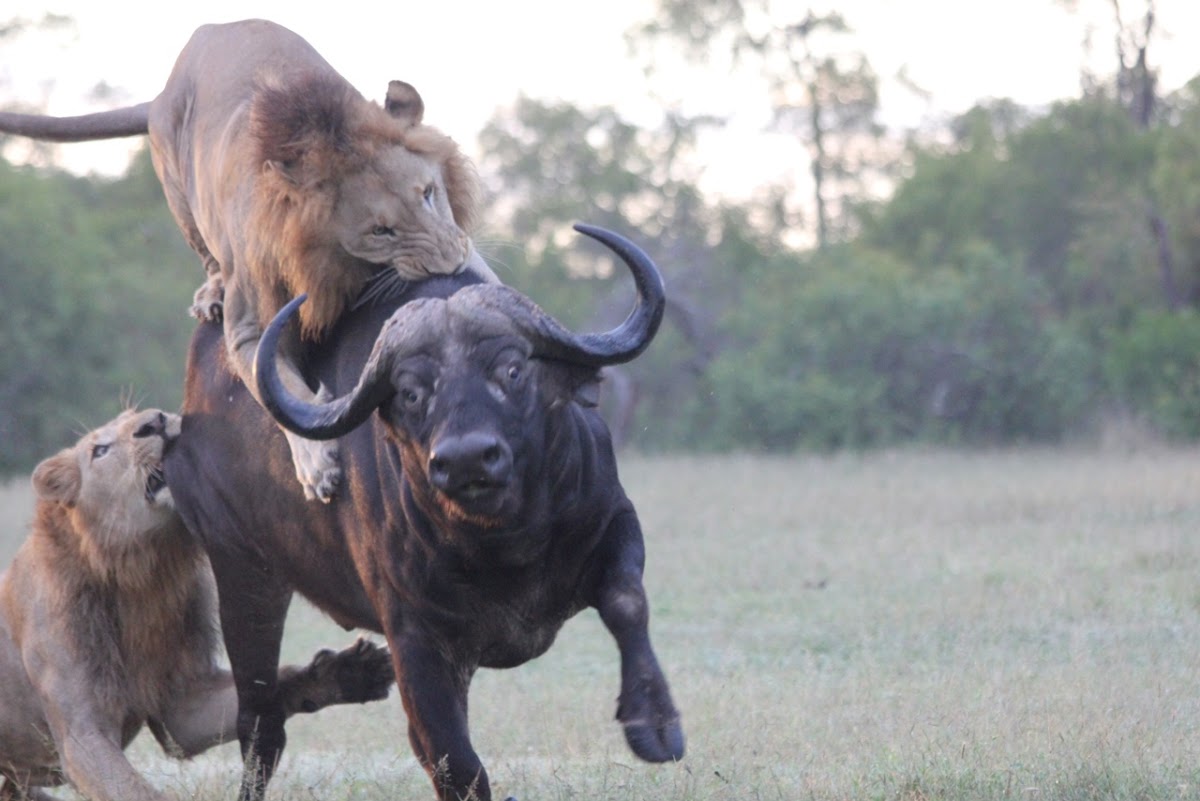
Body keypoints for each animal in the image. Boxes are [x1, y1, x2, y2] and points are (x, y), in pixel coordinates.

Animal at [0, 18, 494, 502]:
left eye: (428, 193)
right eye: (380, 231)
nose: (450, 262)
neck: (338, 261)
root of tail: (163, 91)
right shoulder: (248, 329)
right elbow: (274, 387)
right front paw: (317, 465)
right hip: (174, 180)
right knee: (204, 251)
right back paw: (210, 296)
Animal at [0, 408, 395, 801]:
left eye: (138, 414)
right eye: (100, 450)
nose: (155, 421)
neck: (142, 575)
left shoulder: (182, 708)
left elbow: (268, 690)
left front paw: (353, 671)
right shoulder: (82, 735)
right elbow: (135, 790)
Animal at [164, 225, 684, 801]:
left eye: (512, 368)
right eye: (412, 392)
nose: (466, 459)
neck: (504, 545)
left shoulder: (614, 522)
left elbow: (626, 603)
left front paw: (653, 723)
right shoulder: (415, 639)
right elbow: (454, 760)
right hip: (244, 573)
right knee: (259, 719)